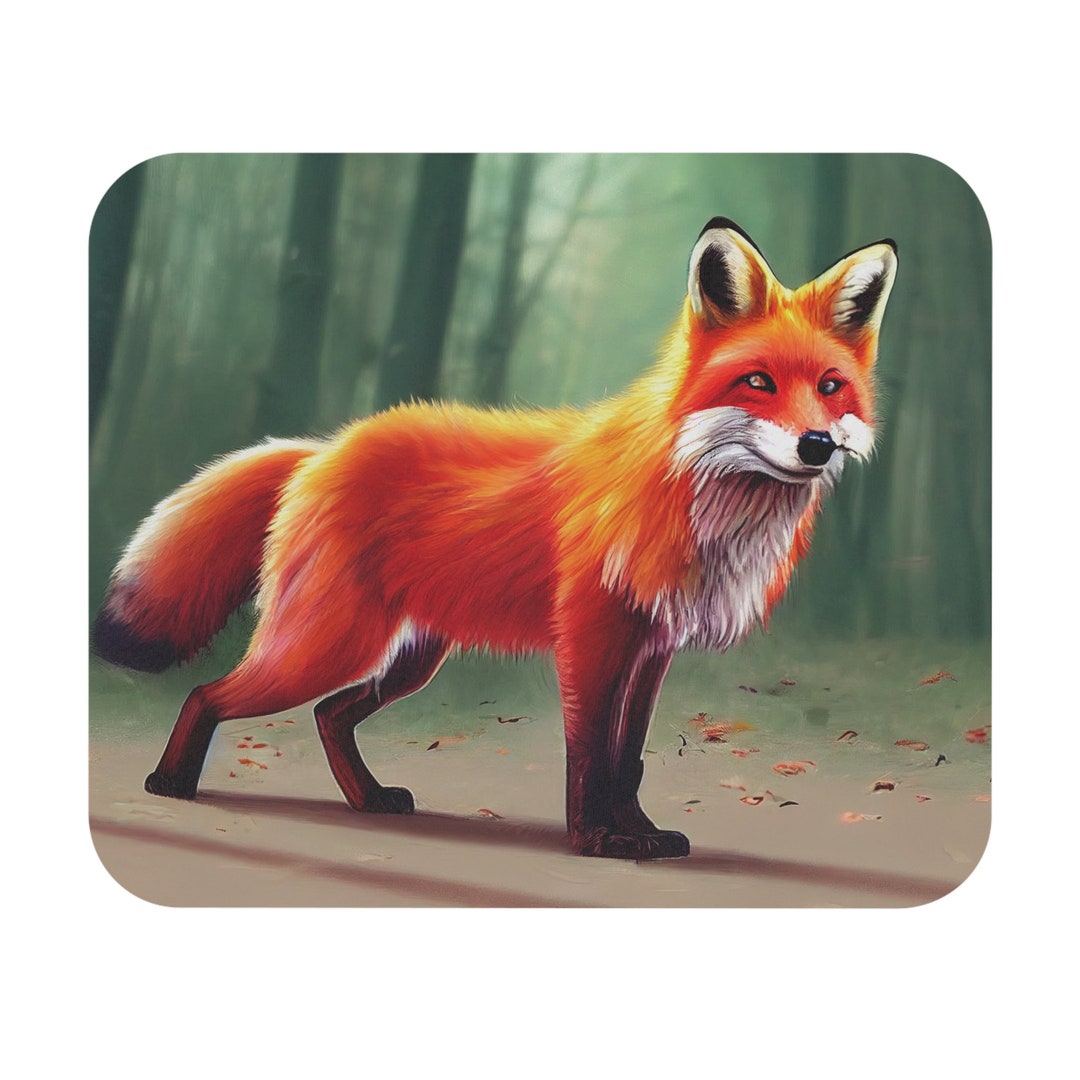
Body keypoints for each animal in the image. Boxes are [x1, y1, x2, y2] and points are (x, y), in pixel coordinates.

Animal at [93, 218, 897, 860]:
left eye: (830, 387)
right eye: (758, 381)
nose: (818, 445)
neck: (696, 497)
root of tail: (323, 448)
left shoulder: (651, 648)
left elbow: (629, 760)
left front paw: (639, 834)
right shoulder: (591, 640)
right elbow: (590, 758)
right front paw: (598, 842)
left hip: (410, 657)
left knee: (328, 715)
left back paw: (367, 799)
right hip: (327, 644)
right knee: (209, 692)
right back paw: (169, 783)